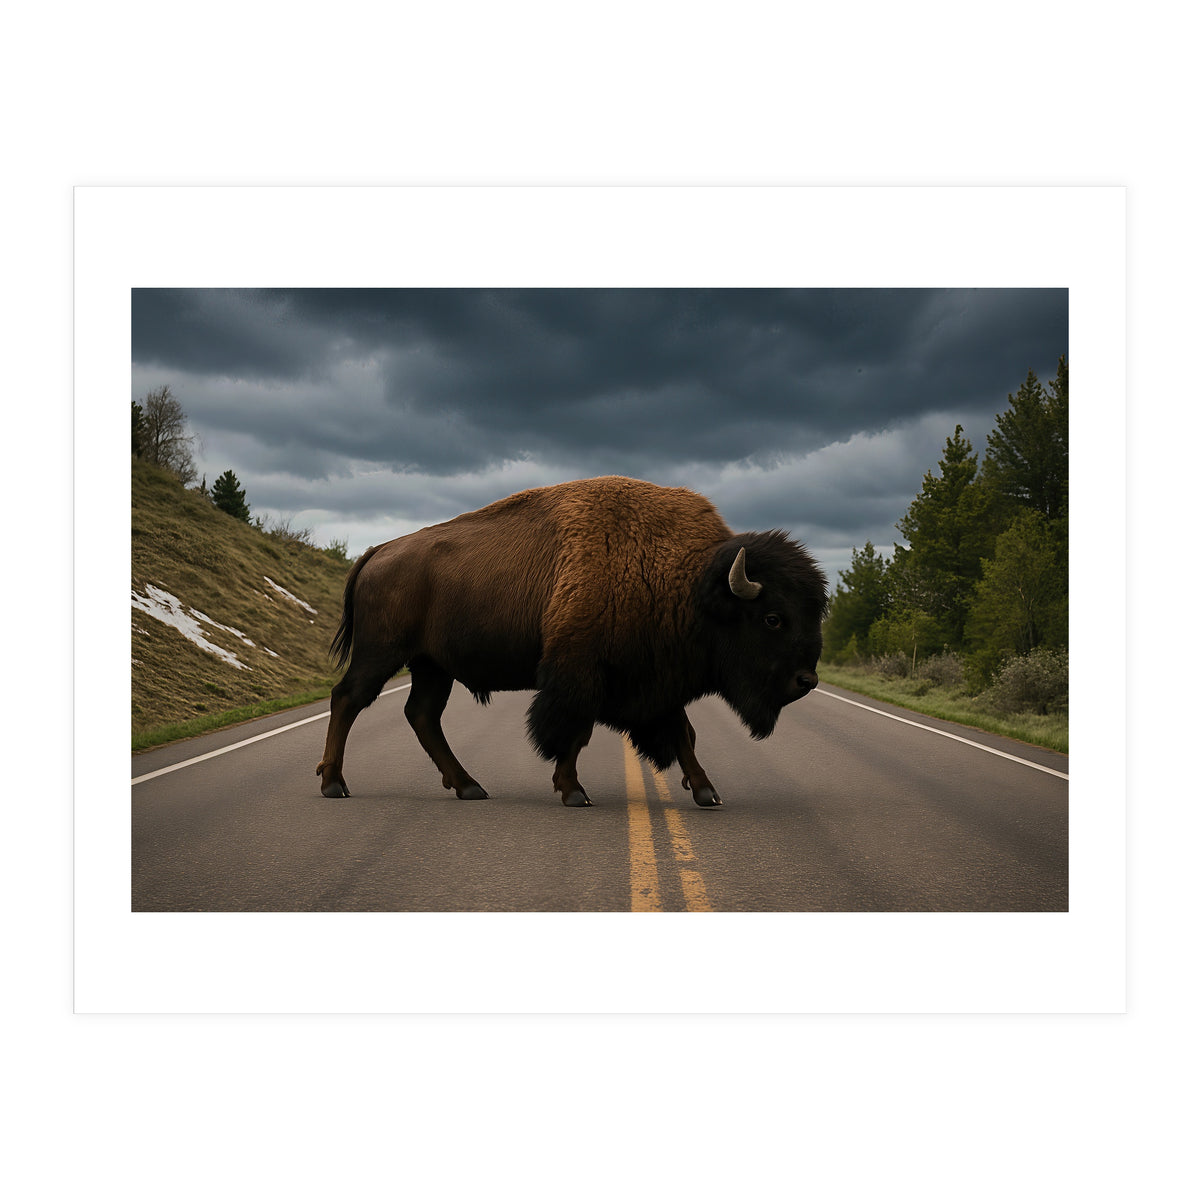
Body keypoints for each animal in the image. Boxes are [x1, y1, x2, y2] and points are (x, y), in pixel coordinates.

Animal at [317, 476, 828, 807]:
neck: (689, 582)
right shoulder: (581, 674)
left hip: (431, 666)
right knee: (348, 698)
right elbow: (575, 731)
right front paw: (573, 791)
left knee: (421, 715)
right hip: (383, 653)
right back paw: (334, 784)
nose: (806, 680)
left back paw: (469, 787)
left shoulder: (655, 682)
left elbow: (682, 732)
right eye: (773, 618)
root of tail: (379, 550)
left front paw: (706, 791)